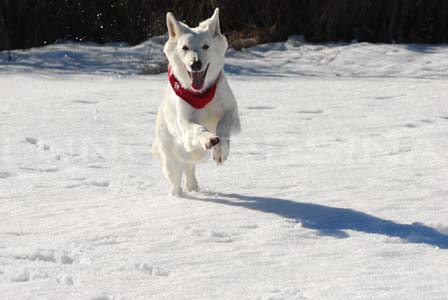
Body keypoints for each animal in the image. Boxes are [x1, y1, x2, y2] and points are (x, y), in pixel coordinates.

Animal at [151, 8, 242, 196]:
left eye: (206, 46)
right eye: (185, 48)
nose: (196, 64)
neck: (201, 94)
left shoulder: (232, 112)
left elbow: (223, 126)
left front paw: (221, 150)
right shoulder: (185, 123)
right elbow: (198, 128)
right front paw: (209, 139)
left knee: (190, 171)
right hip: (172, 162)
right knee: (176, 183)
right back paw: (179, 196)